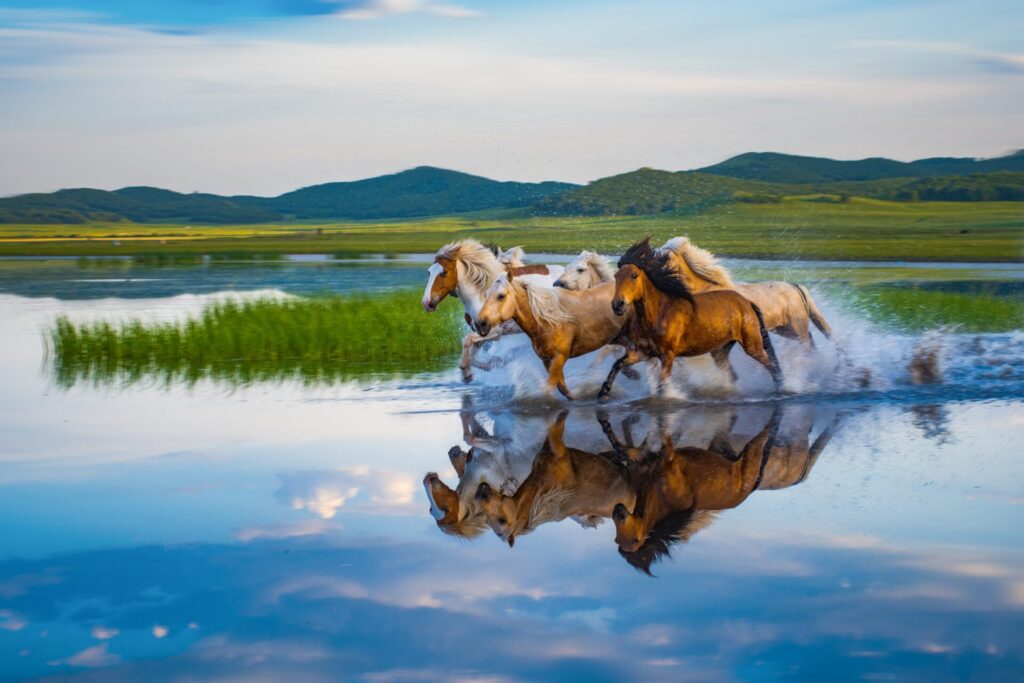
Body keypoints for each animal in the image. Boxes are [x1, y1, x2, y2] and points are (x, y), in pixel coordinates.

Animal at [420, 239, 565, 381]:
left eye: (444, 272)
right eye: (429, 272)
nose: (426, 303)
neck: (481, 295)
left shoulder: (496, 330)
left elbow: (467, 341)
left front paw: (469, 372)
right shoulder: (481, 331)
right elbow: (471, 355)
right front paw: (483, 367)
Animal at [474, 273, 630, 400]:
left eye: (501, 296)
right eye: (486, 295)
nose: (479, 324)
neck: (547, 322)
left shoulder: (559, 358)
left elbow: (549, 388)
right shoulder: (547, 360)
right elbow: (562, 388)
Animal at [598, 238, 784, 401]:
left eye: (634, 275)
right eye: (616, 276)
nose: (618, 305)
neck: (659, 313)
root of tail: (747, 302)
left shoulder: (668, 356)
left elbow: (663, 385)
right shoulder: (643, 351)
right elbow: (618, 364)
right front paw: (603, 393)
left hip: (752, 346)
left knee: (772, 367)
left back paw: (781, 389)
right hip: (720, 351)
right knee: (733, 374)